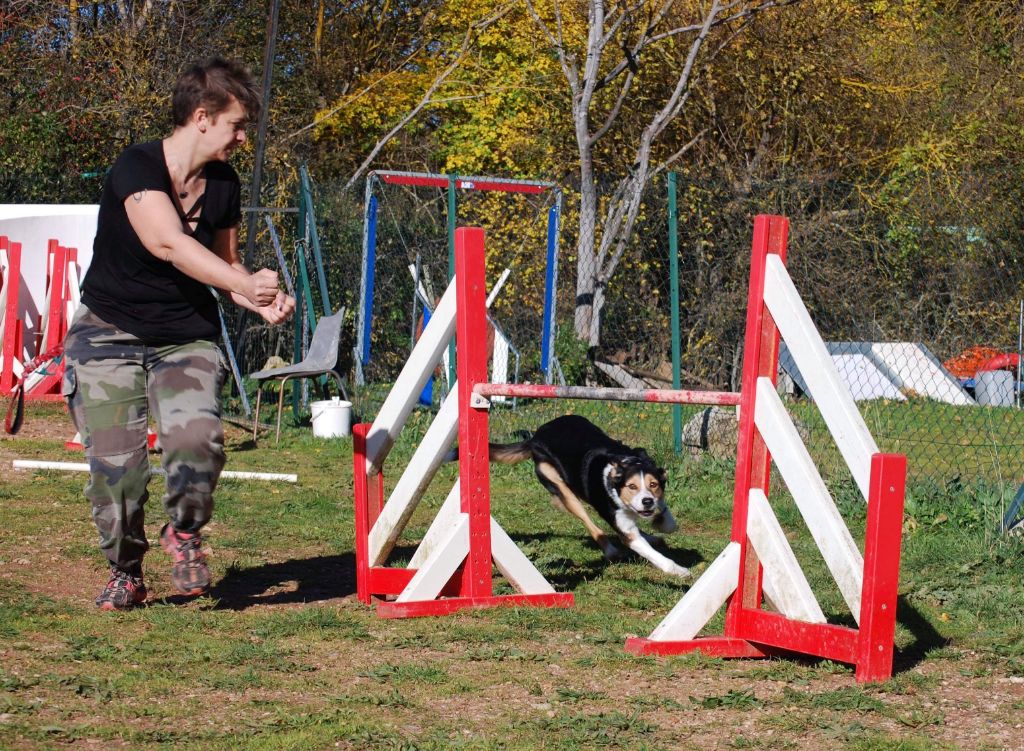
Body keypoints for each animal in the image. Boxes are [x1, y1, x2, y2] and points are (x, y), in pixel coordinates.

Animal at [483, 413, 692, 577]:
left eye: (653, 485)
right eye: (631, 486)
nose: (647, 501)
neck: (623, 466)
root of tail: (536, 435)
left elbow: (668, 521)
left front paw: (660, 522)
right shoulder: (626, 529)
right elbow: (648, 550)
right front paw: (679, 570)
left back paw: (650, 536)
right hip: (561, 488)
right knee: (591, 525)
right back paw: (611, 550)